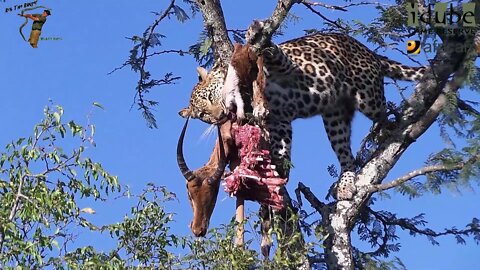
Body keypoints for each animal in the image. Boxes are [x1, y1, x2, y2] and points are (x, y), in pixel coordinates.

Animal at [178, 25, 426, 200]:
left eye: (209, 98)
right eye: (202, 116)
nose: (218, 116)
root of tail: (369, 51)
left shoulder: (287, 68)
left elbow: (274, 53)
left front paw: (257, 34)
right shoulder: (279, 120)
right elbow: (281, 145)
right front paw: (279, 168)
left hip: (367, 95)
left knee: (383, 113)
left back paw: (386, 130)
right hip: (334, 119)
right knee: (346, 156)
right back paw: (345, 185)